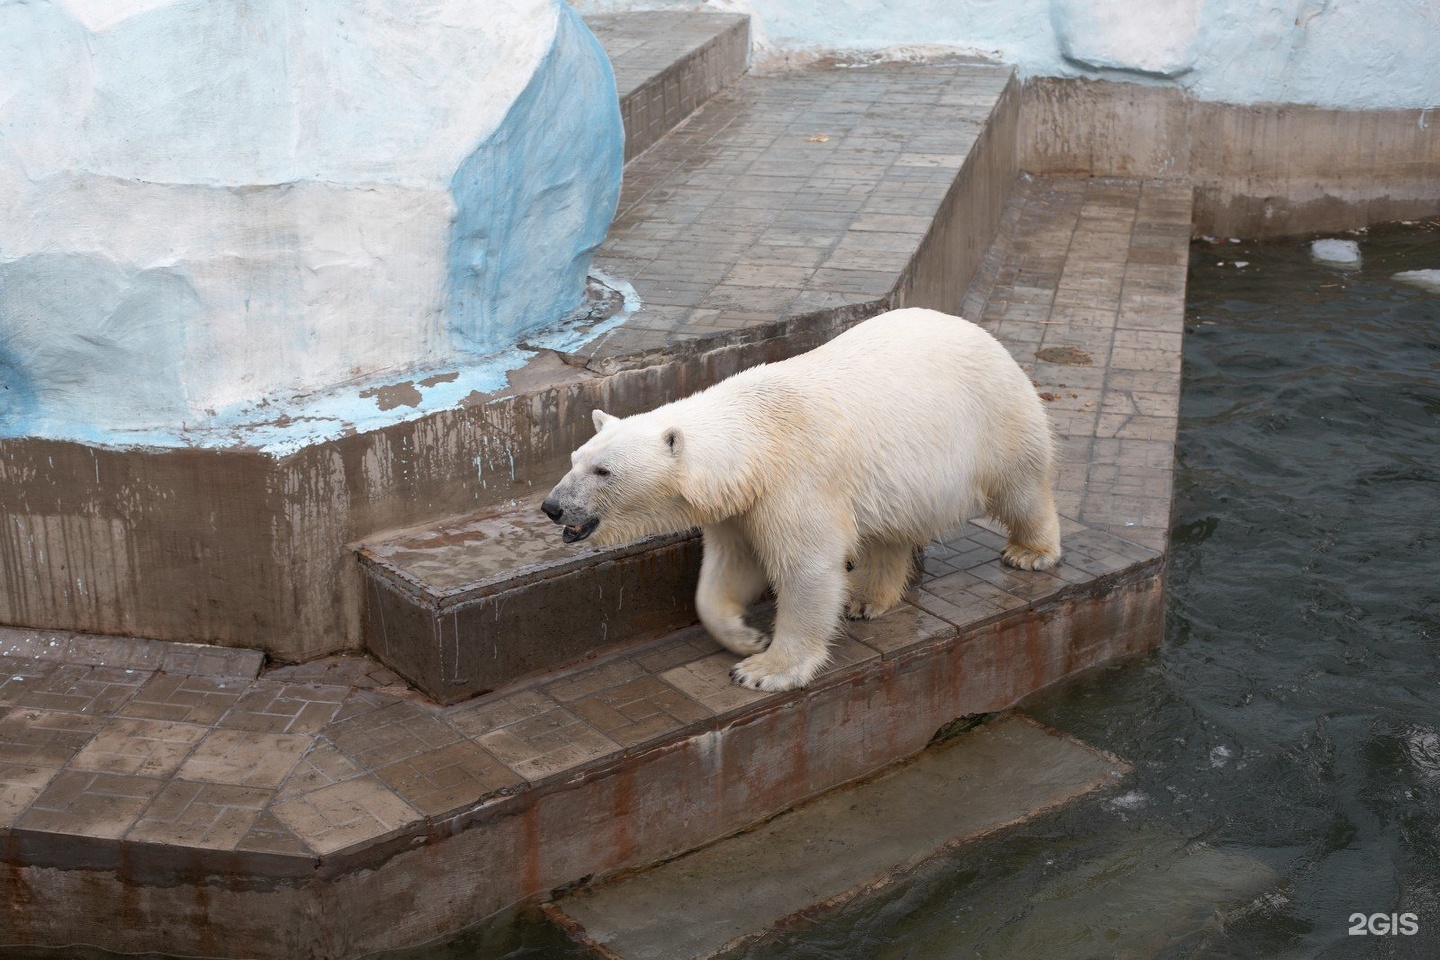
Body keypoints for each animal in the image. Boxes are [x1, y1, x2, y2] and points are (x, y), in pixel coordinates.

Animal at [541, 308, 1059, 690]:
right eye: (574, 458)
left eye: (603, 471)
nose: (552, 506)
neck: (756, 435)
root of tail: (979, 330)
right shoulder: (742, 504)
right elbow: (730, 566)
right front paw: (745, 637)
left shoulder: (795, 480)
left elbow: (805, 568)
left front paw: (764, 670)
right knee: (890, 529)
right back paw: (866, 599)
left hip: (993, 415)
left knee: (1020, 485)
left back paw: (1031, 551)